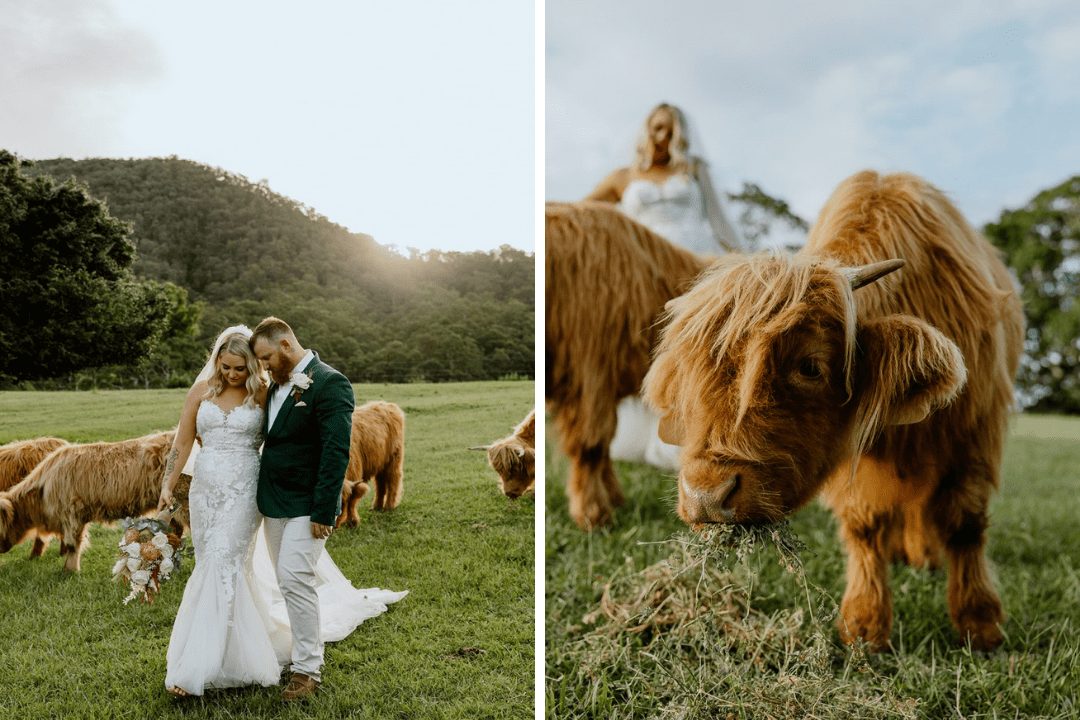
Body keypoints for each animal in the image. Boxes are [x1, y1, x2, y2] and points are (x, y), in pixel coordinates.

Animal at [643, 170, 1023, 651]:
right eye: (693, 372)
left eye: (810, 366)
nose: (707, 497)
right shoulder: (854, 452)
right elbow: (864, 526)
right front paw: (864, 624)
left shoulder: (973, 434)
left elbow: (965, 523)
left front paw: (980, 623)